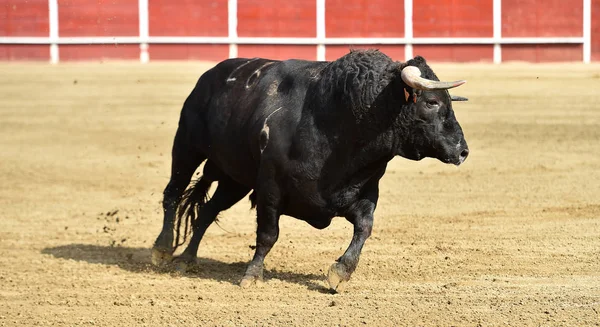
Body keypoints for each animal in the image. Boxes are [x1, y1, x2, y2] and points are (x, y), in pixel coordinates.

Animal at [150, 50, 468, 292]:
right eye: (431, 102)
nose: (463, 150)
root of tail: (209, 76)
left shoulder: (365, 191)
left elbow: (364, 227)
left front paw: (340, 272)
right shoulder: (270, 189)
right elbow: (268, 234)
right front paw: (252, 275)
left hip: (234, 179)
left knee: (207, 211)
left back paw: (187, 259)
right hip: (187, 147)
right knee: (173, 193)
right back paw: (162, 250)